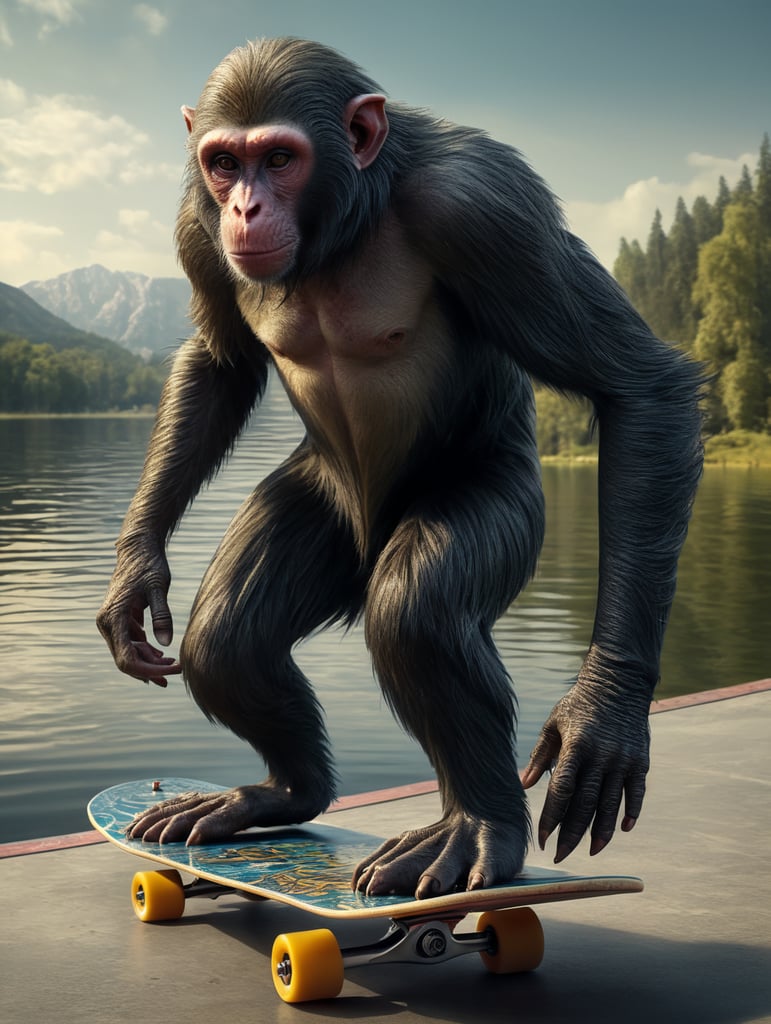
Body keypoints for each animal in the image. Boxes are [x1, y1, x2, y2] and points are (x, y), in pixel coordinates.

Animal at [96, 37, 704, 899]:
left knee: (414, 613)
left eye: (278, 158)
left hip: (500, 500)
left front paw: (604, 711)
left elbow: (635, 388)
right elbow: (219, 363)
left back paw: (477, 828)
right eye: (223, 163)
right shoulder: (192, 224)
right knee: (228, 637)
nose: (245, 207)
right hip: (319, 508)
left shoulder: (486, 206)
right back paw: (281, 793)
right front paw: (135, 570)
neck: (349, 216)